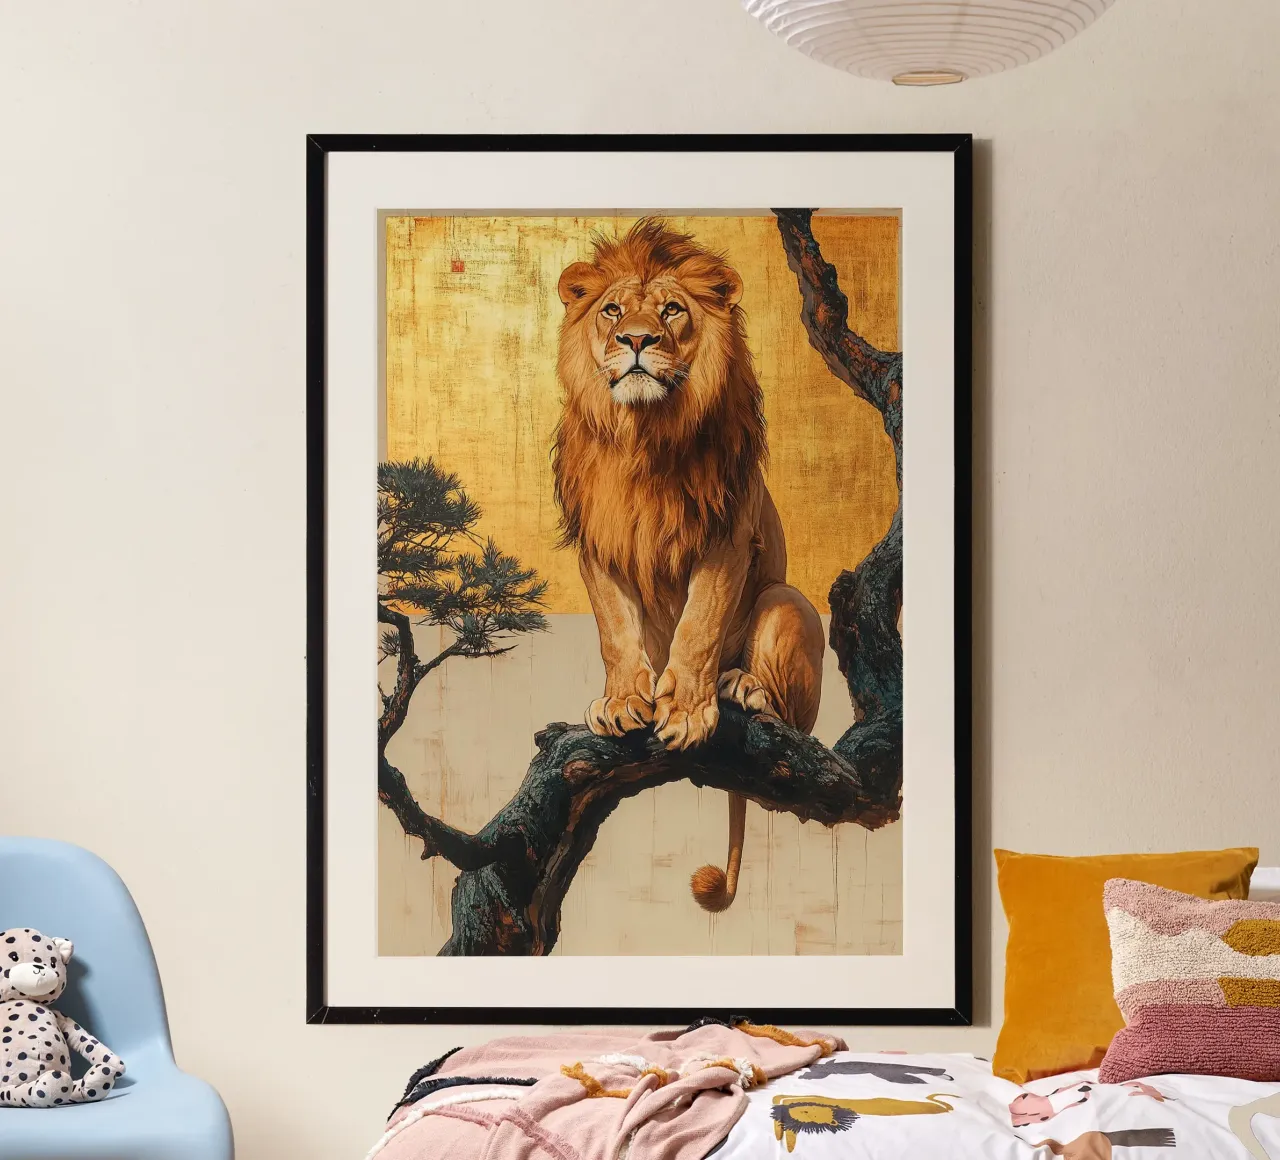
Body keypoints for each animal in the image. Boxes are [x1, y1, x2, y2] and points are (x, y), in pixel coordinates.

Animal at [551, 218, 825, 913]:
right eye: (613, 311)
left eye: (672, 310)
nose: (637, 340)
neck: (645, 436)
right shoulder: (598, 540)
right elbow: (615, 632)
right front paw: (622, 702)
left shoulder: (729, 529)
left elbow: (698, 626)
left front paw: (685, 711)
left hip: (786, 600)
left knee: (797, 726)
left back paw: (743, 689)